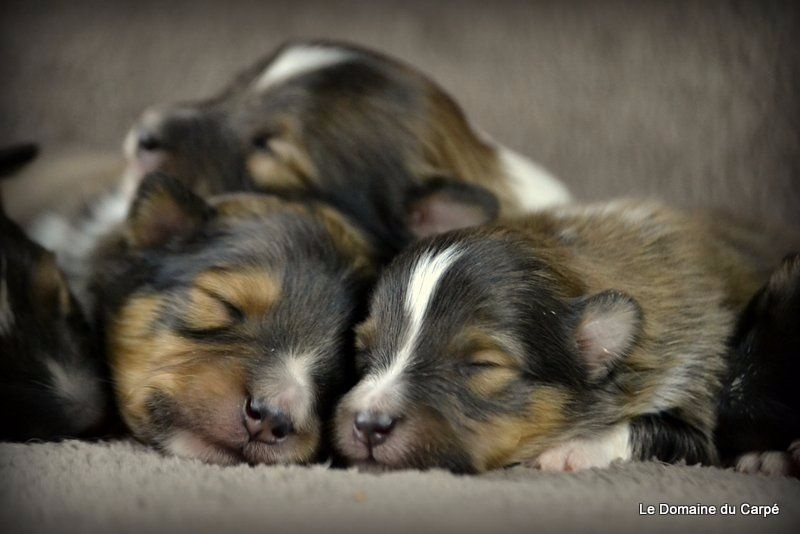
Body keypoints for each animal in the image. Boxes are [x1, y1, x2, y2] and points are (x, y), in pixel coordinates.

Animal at [334, 200, 796, 474]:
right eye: (365, 352)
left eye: (481, 365)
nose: (368, 424)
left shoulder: (700, 400)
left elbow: (651, 429)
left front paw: (572, 450)